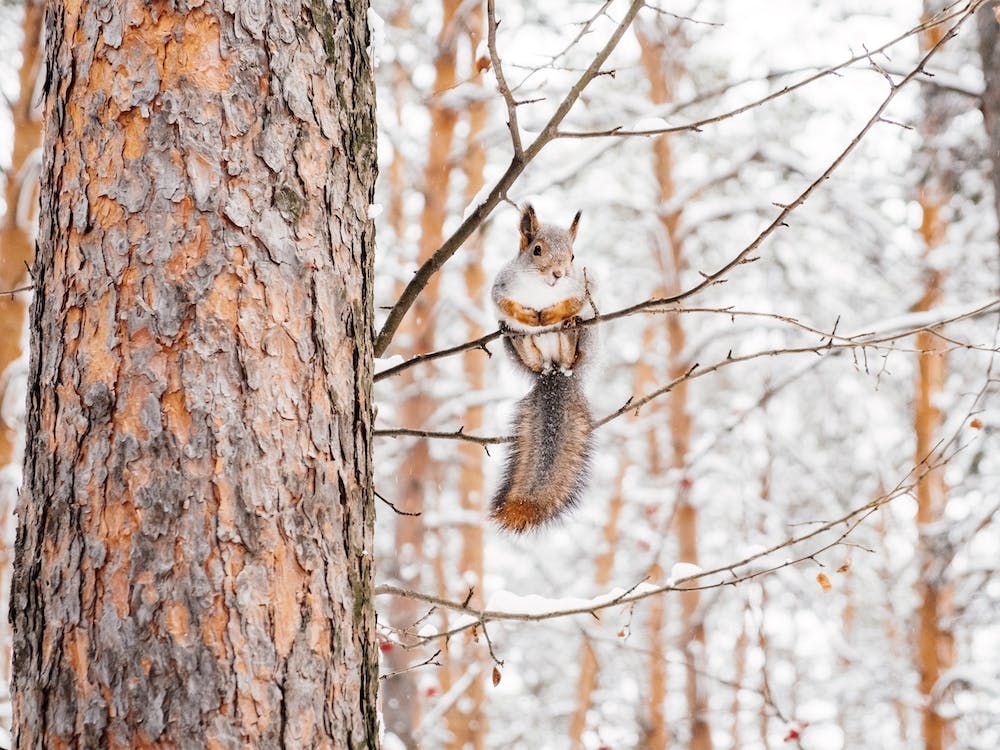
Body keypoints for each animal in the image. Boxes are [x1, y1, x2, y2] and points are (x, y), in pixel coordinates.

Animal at [489, 204, 597, 533]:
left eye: (573, 257)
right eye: (537, 250)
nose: (558, 274)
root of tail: (555, 372)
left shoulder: (582, 289)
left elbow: (573, 301)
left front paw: (551, 314)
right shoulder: (501, 285)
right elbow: (503, 303)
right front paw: (526, 317)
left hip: (578, 348)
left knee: (571, 349)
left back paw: (570, 328)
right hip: (521, 352)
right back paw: (519, 333)